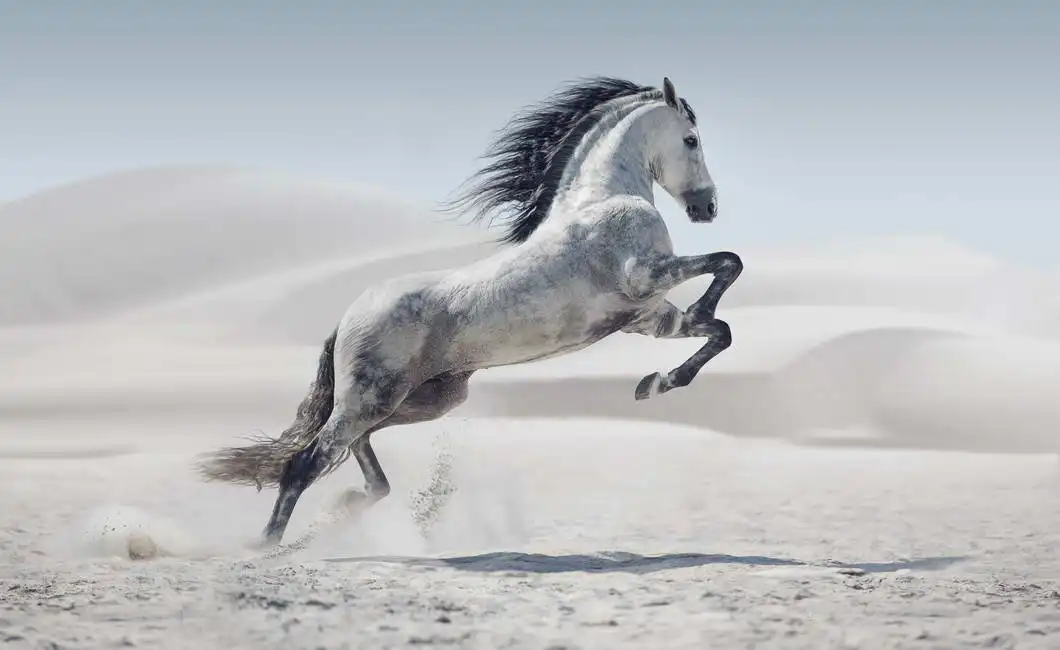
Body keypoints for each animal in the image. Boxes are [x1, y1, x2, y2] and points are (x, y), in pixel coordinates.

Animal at [195, 76, 743, 547]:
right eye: (691, 139)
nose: (708, 208)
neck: (602, 199)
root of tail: (347, 319)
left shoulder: (648, 318)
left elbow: (720, 331)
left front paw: (654, 383)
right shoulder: (645, 277)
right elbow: (728, 263)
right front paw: (667, 363)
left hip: (423, 400)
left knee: (356, 450)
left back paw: (348, 505)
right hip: (373, 398)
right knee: (306, 462)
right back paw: (266, 546)